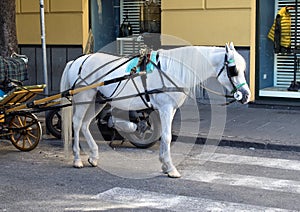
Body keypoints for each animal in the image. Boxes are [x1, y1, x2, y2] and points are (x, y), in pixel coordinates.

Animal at [61, 41, 251, 177]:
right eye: (233, 70)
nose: (245, 95)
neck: (175, 71)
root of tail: (77, 61)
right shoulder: (166, 108)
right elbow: (167, 137)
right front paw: (171, 168)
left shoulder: (169, 110)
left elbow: (164, 136)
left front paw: (165, 165)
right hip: (84, 98)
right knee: (77, 123)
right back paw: (77, 159)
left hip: (98, 100)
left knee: (85, 124)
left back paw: (93, 156)